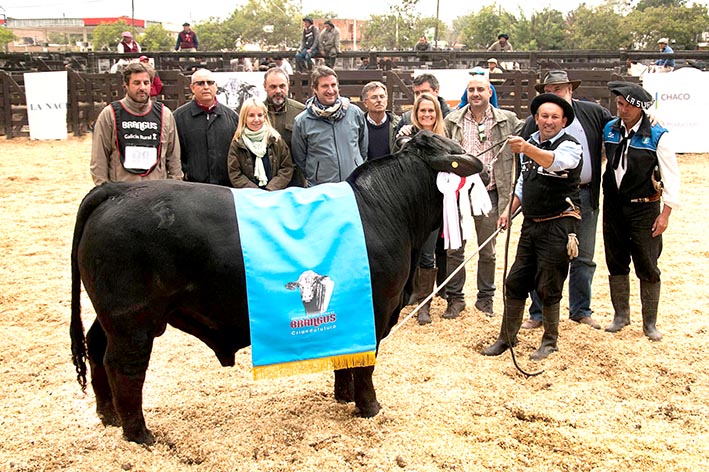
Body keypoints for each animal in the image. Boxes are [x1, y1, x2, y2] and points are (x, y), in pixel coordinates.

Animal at [70, 131, 482, 444]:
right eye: (453, 155)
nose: (477, 165)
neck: (384, 209)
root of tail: (116, 192)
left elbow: (344, 358)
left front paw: (343, 397)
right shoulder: (377, 310)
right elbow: (365, 364)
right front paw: (370, 407)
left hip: (111, 316)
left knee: (96, 347)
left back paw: (108, 415)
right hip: (134, 320)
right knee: (124, 366)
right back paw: (139, 434)